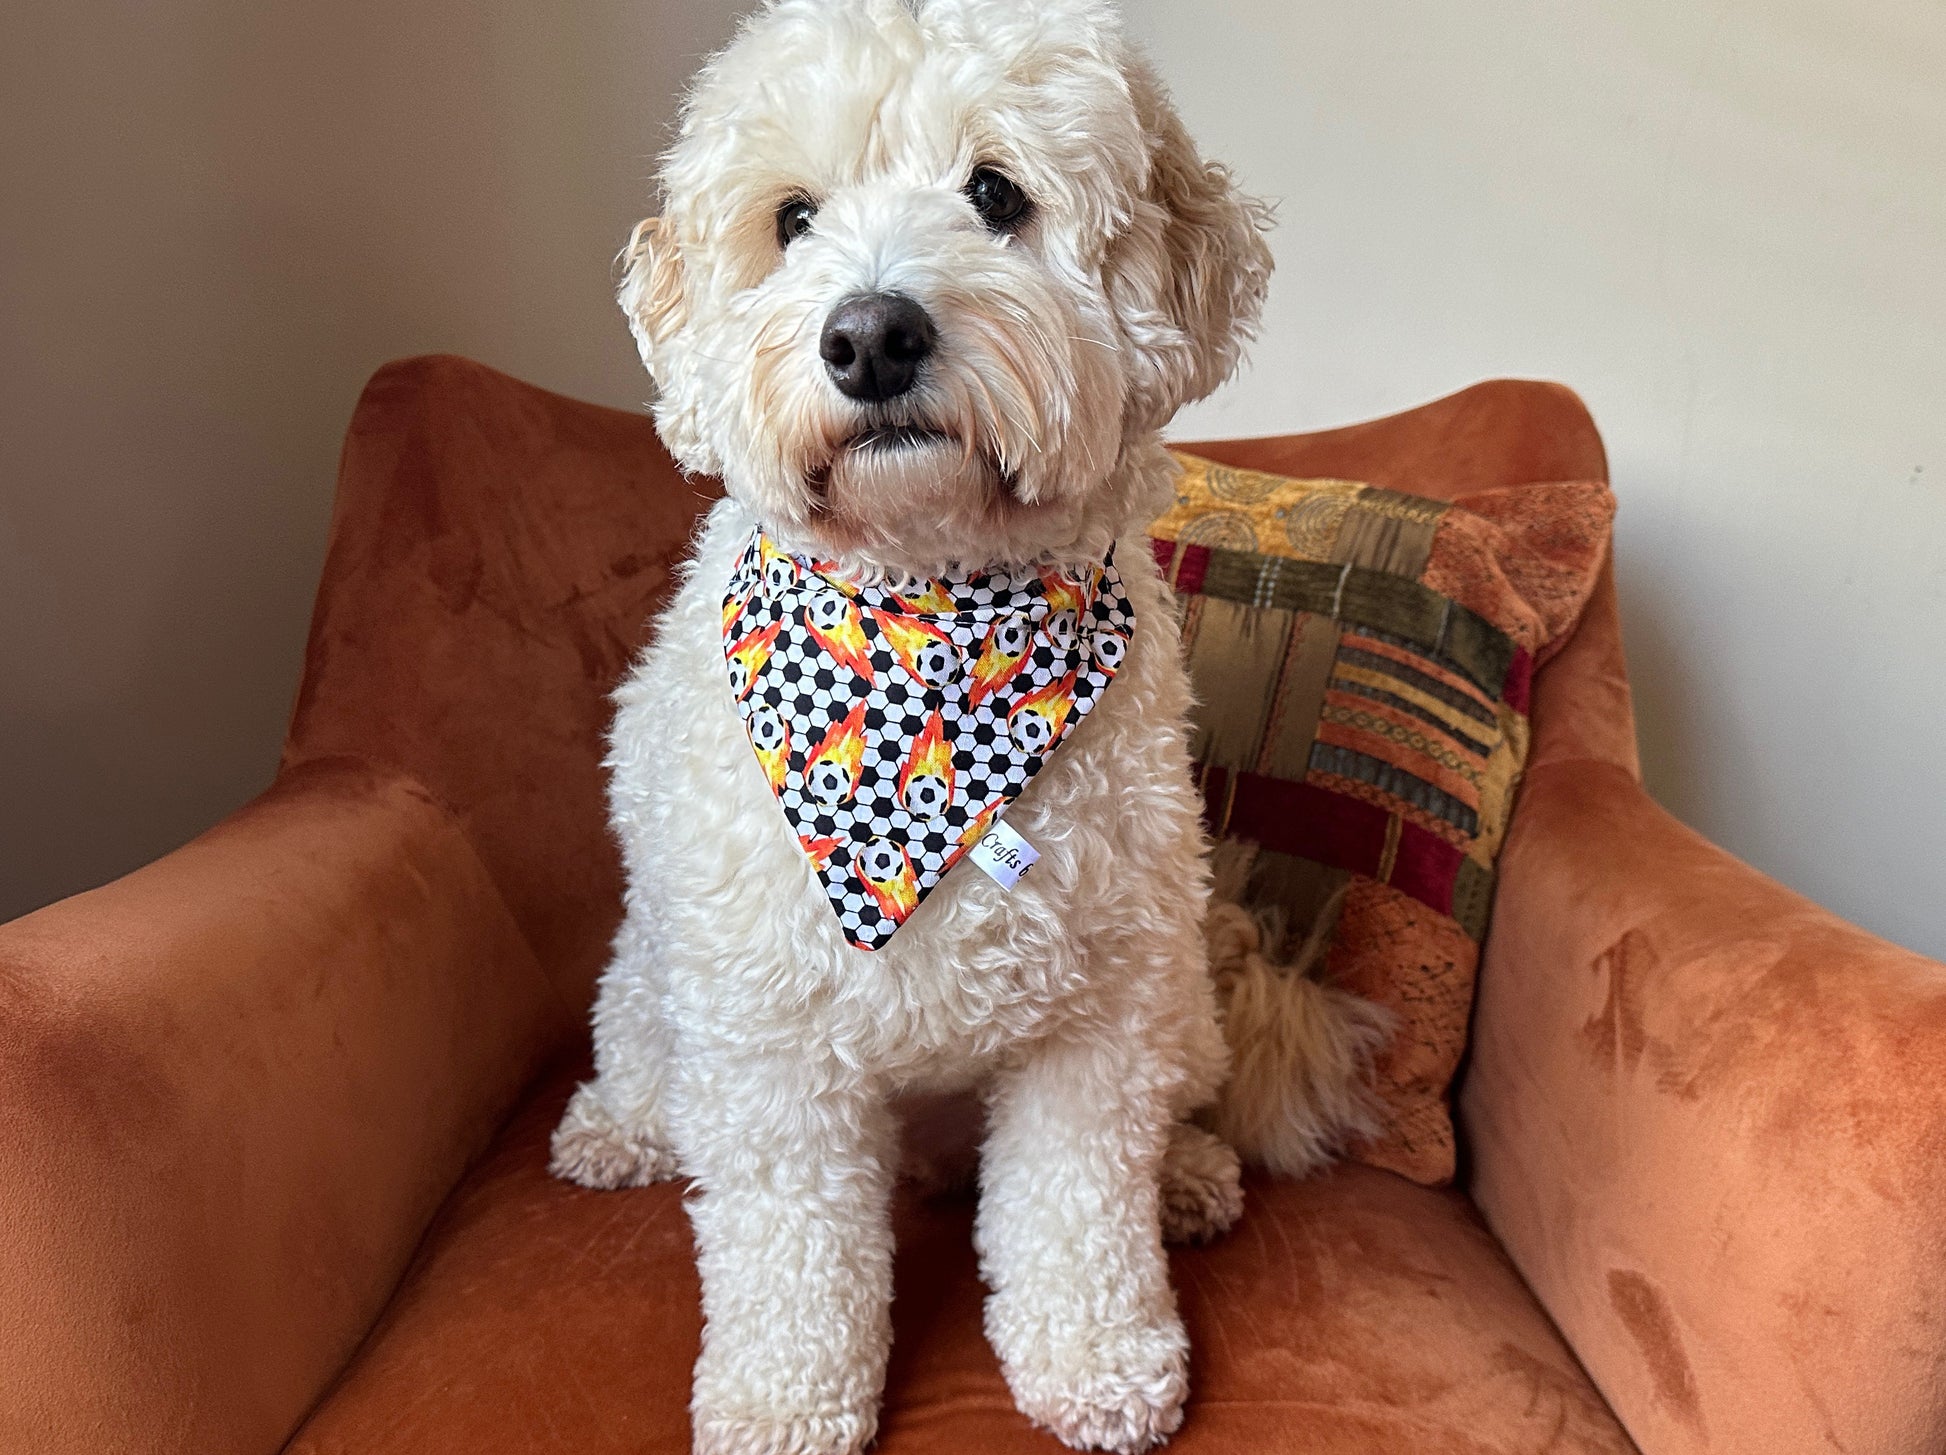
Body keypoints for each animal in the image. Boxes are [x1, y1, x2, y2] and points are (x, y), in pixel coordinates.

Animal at [552, 5, 1276, 1447]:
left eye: (995, 195)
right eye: (790, 218)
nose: (871, 336)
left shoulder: (1099, 1017)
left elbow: (1077, 1210)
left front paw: (1097, 1360)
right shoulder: (768, 1039)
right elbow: (789, 1249)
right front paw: (781, 1400)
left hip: (1179, 991)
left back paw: (1187, 1174)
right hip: (654, 977)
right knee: (646, 1063)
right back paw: (620, 1127)